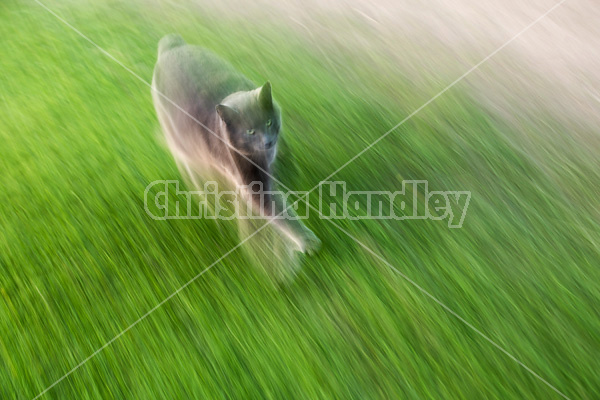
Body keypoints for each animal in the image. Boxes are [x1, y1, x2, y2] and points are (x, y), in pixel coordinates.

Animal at [151, 33, 318, 253]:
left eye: (268, 122)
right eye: (250, 132)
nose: (268, 141)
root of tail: (170, 46)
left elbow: (288, 162)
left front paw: (297, 181)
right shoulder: (253, 183)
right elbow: (276, 208)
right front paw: (307, 241)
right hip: (184, 149)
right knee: (198, 183)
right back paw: (216, 215)